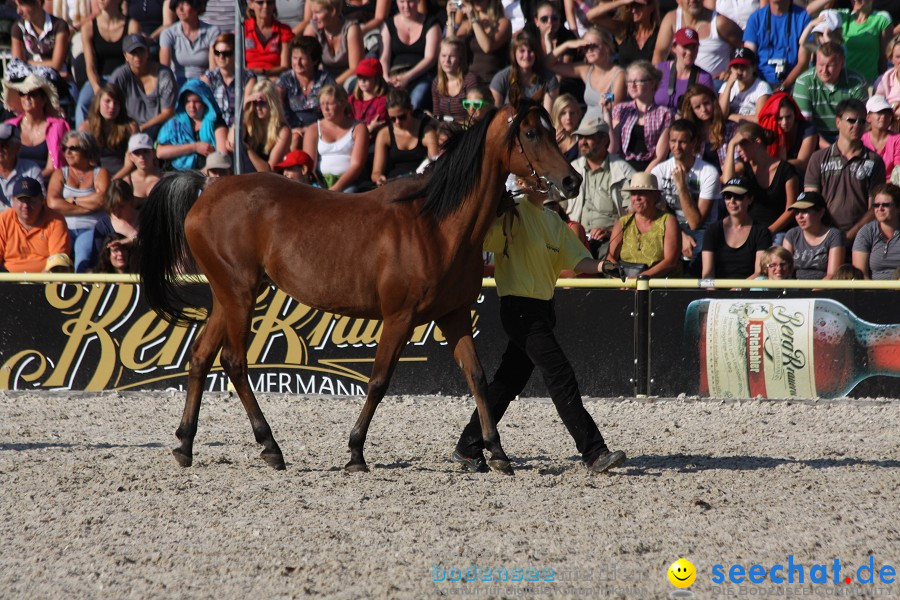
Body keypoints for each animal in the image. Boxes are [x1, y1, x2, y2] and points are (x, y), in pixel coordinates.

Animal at [137, 97, 580, 474]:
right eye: (531, 133)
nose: (572, 180)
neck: (435, 225)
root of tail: (207, 188)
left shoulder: (453, 315)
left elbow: (478, 378)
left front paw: (497, 452)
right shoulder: (399, 318)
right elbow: (380, 381)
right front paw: (355, 452)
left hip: (227, 296)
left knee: (200, 357)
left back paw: (185, 445)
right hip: (240, 295)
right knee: (234, 362)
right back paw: (270, 447)